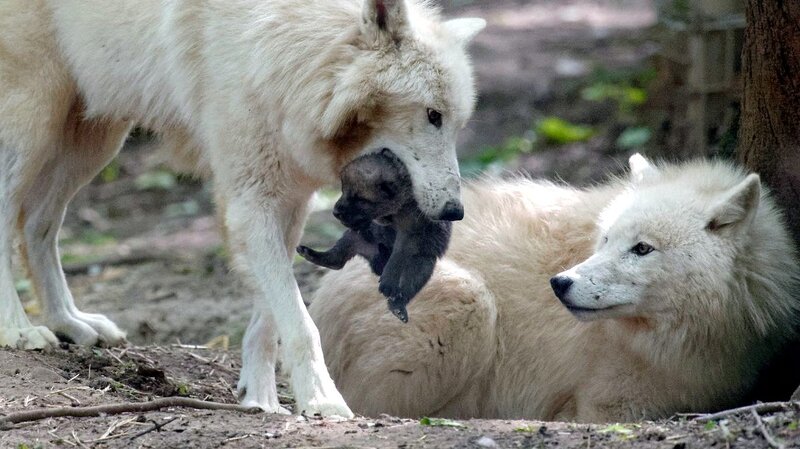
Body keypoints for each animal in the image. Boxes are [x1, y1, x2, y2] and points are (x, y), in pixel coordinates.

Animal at [297, 149, 451, 322]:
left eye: (360, 199)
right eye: (343, 190)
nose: (335, 212)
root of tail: (377, 262)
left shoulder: (411, 235)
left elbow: (398, 257)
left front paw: (388, 280)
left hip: (422, 262)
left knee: (409, 283)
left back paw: (398, 305)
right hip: (355, 239)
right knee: (338, 259)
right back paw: (314, 255)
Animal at [309, 155, 800, 421]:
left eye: (642, 248)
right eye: (607, 240)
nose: (561, 283)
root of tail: (316, 302)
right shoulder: (607, 406)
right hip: (468, 302)